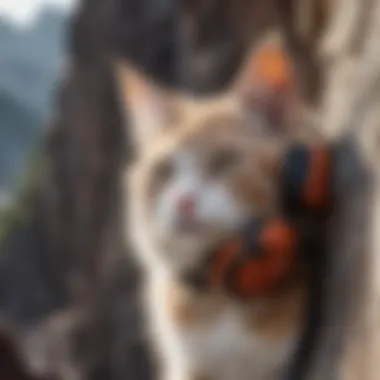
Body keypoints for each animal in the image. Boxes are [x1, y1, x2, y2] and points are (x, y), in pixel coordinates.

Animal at [117, 36, 320, 380]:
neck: (222, 297)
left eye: (224, 161)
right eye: (164, 171)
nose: (183, 201)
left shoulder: (279, 363)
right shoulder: (186, 365)